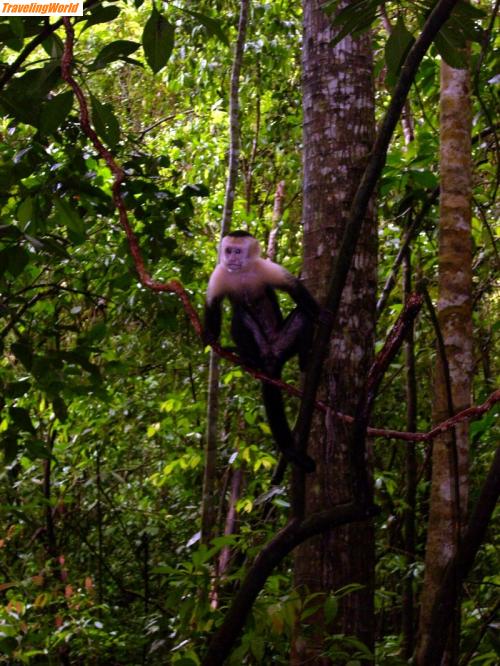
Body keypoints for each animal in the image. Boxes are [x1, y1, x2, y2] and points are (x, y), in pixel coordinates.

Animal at [204, 231, 318, 470]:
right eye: (228, 250)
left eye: (238, 251)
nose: (231, 258)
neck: (242, 272)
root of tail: (272, 359)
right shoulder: (220, 274)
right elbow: (213, 305)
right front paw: (210, 336)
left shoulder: (265, 267)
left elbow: (294, 288)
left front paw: (322, 314)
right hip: (261, 346)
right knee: (240, 317)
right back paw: (249, 358)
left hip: (284, 345)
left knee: (303, 314)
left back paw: (304, 359)